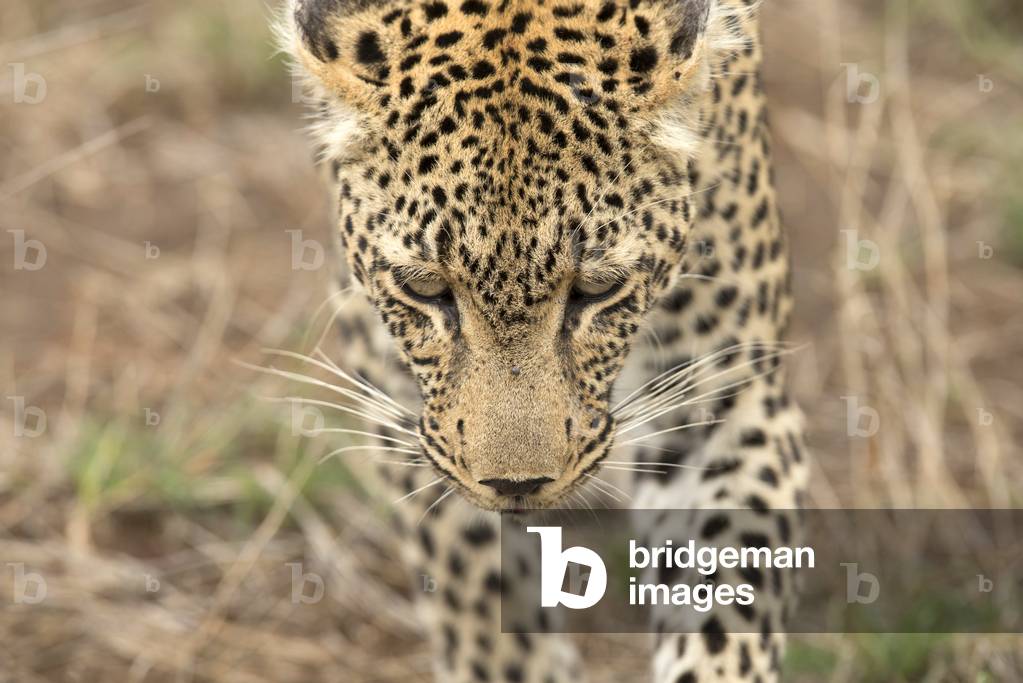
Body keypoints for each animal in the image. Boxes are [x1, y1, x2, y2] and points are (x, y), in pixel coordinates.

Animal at [277, 0, 808, 680]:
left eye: (597, 290)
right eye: (426, 290)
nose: (516, 486)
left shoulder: (726, 393)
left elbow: (725, 604)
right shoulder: (398, 393)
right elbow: (479, 595)